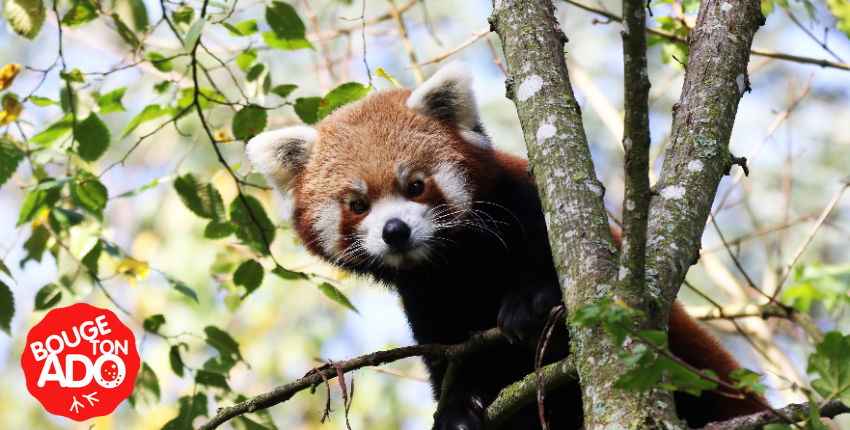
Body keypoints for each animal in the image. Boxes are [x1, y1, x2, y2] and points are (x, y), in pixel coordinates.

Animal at [243, 62, 760, 428]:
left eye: (415, 186)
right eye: (357, 204)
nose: (395, 231)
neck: (457, 261)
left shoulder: (527, 207)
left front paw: (530, 303)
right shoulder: (428, 300)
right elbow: (457, 362)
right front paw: (458, 411)